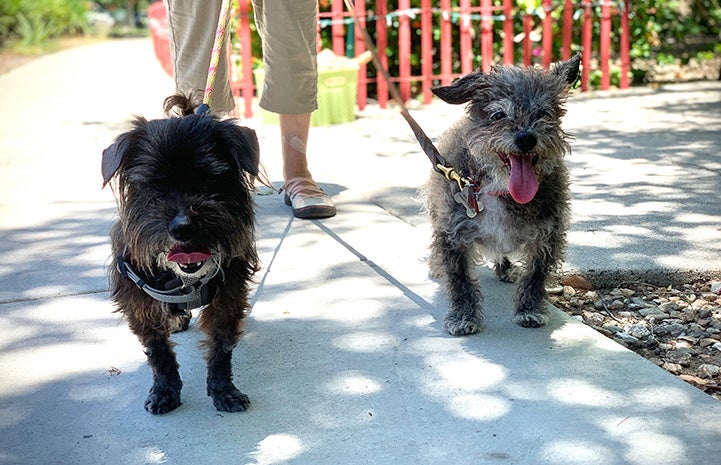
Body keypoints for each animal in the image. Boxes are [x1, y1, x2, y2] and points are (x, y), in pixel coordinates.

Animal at [101, 94, 258, 414]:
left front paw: (223, 390)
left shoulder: (229, 296)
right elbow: (158, 351)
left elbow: (221, 346)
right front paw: (165, 390)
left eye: (210, 182)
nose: (183, 226)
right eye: (154, 186)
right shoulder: (137, 302)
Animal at [424, 56, 584, 336]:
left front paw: (529, 309)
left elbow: (535, 276)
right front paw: (464, 316)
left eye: (544, 113)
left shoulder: (547, 237)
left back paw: (505, 268)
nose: (526, 138)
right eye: (498, 115)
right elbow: (459, 278)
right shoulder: (452, 235)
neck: (502, 189)